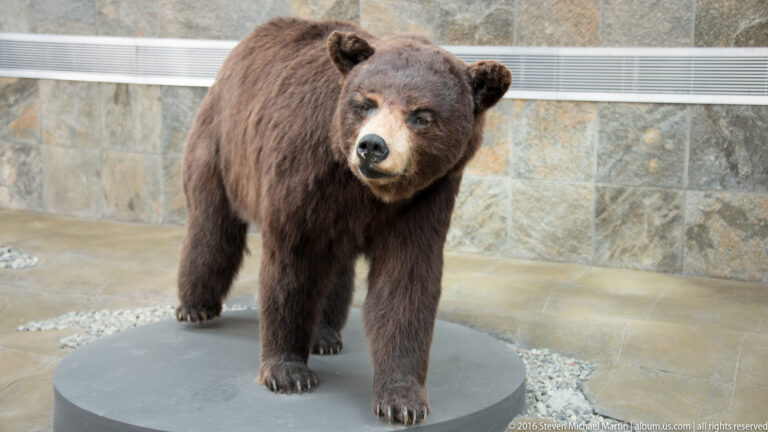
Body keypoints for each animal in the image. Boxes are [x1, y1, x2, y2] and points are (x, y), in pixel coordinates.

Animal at [175, 17, 511, 425]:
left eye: (421, 115)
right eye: (366, 103)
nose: (372, 146)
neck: (362, 189)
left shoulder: (425, 200)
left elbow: (405, 284)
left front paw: (402, 399)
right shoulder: (302, 175)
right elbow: (290, 269)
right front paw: (288, 372)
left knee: (334, 269)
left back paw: (324, 334)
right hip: (221, 146)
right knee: (212, 228)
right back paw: (194, 307)